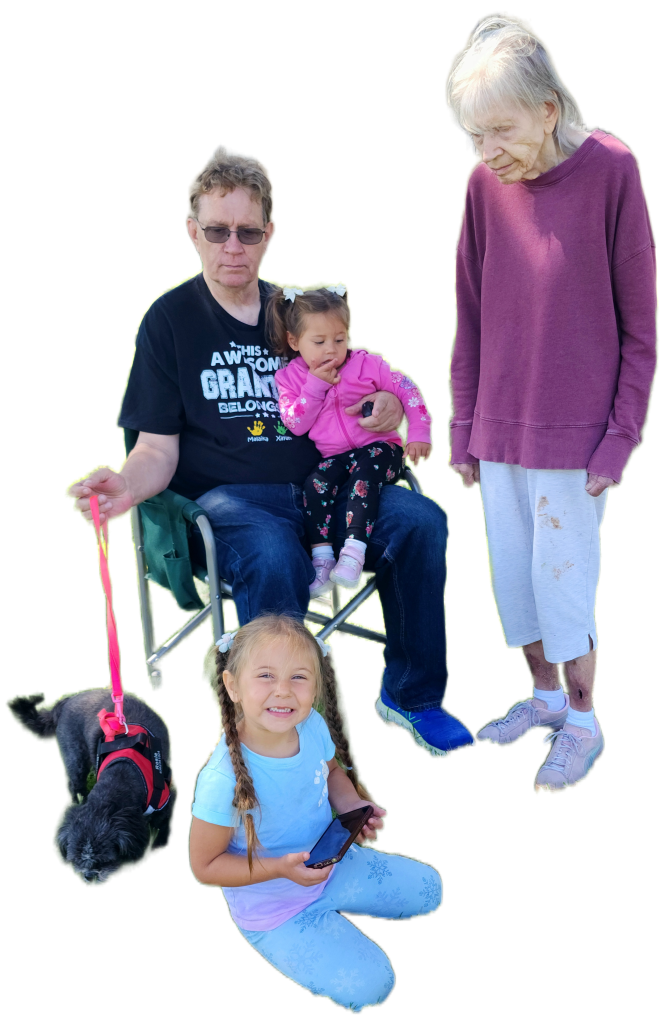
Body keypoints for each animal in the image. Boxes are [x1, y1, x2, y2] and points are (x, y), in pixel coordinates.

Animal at [6, 688, 177, 885]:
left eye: (106, 860)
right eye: (76, 858)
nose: (89, 876)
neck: (120, 777)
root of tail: (66, 701)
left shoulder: (165, 800)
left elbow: (161, 824)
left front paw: (159, 844)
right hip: (75, 755)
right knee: (75, 782)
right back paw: (77, 798)